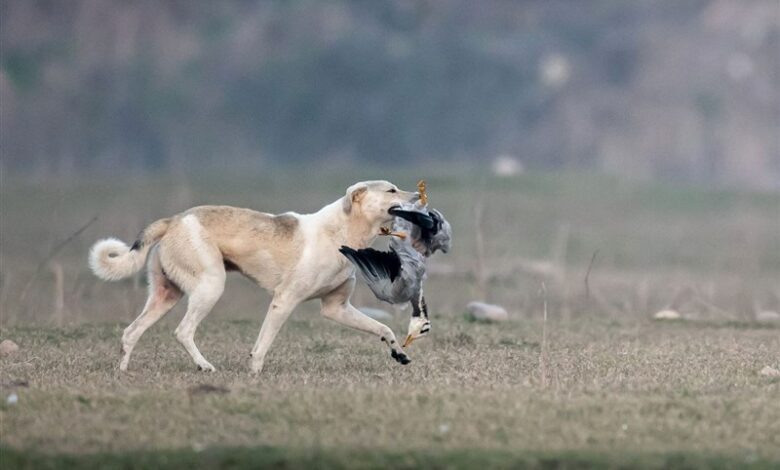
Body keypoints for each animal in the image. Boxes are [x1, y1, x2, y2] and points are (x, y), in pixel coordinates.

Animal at [89, 181, 420, 374]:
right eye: (391, 190)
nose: (418, 195)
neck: (343, 232)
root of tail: (175, 219)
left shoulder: (336, 308)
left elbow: (382, 328)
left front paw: (399, 353)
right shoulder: (284, 300)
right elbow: (262, 343)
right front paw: (254, 374)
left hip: (165, 295)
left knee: (130, 332)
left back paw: (122, 372)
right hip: (211, 286)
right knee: (182, 331)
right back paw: (205, 367)